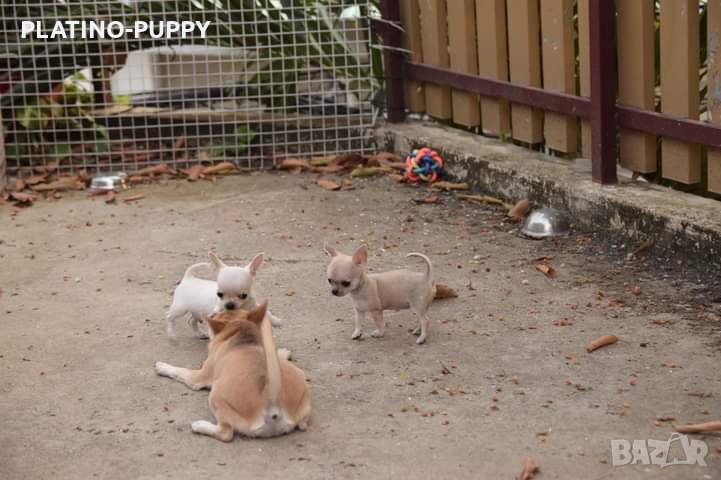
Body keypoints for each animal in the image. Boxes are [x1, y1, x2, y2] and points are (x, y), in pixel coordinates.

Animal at [155, 302, 311, 441]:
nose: (214, 312)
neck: (241, 333)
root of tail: (272, 401)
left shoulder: (198, 377)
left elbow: (178, 371)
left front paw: (162, 366)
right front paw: (283, 352)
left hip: (215, 395)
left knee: (226, 433)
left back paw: (200, 426)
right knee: (303, 424)